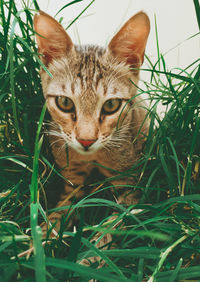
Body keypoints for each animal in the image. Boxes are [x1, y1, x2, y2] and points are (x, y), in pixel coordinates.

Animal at [33, 9, 150, 236]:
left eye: (111, 104)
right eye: (65, 102)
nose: (86, 141)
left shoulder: (131, 185)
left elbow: (114, 225)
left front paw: (95, 246)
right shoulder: (72, 180)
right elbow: (62, 209)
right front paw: (43, 235)